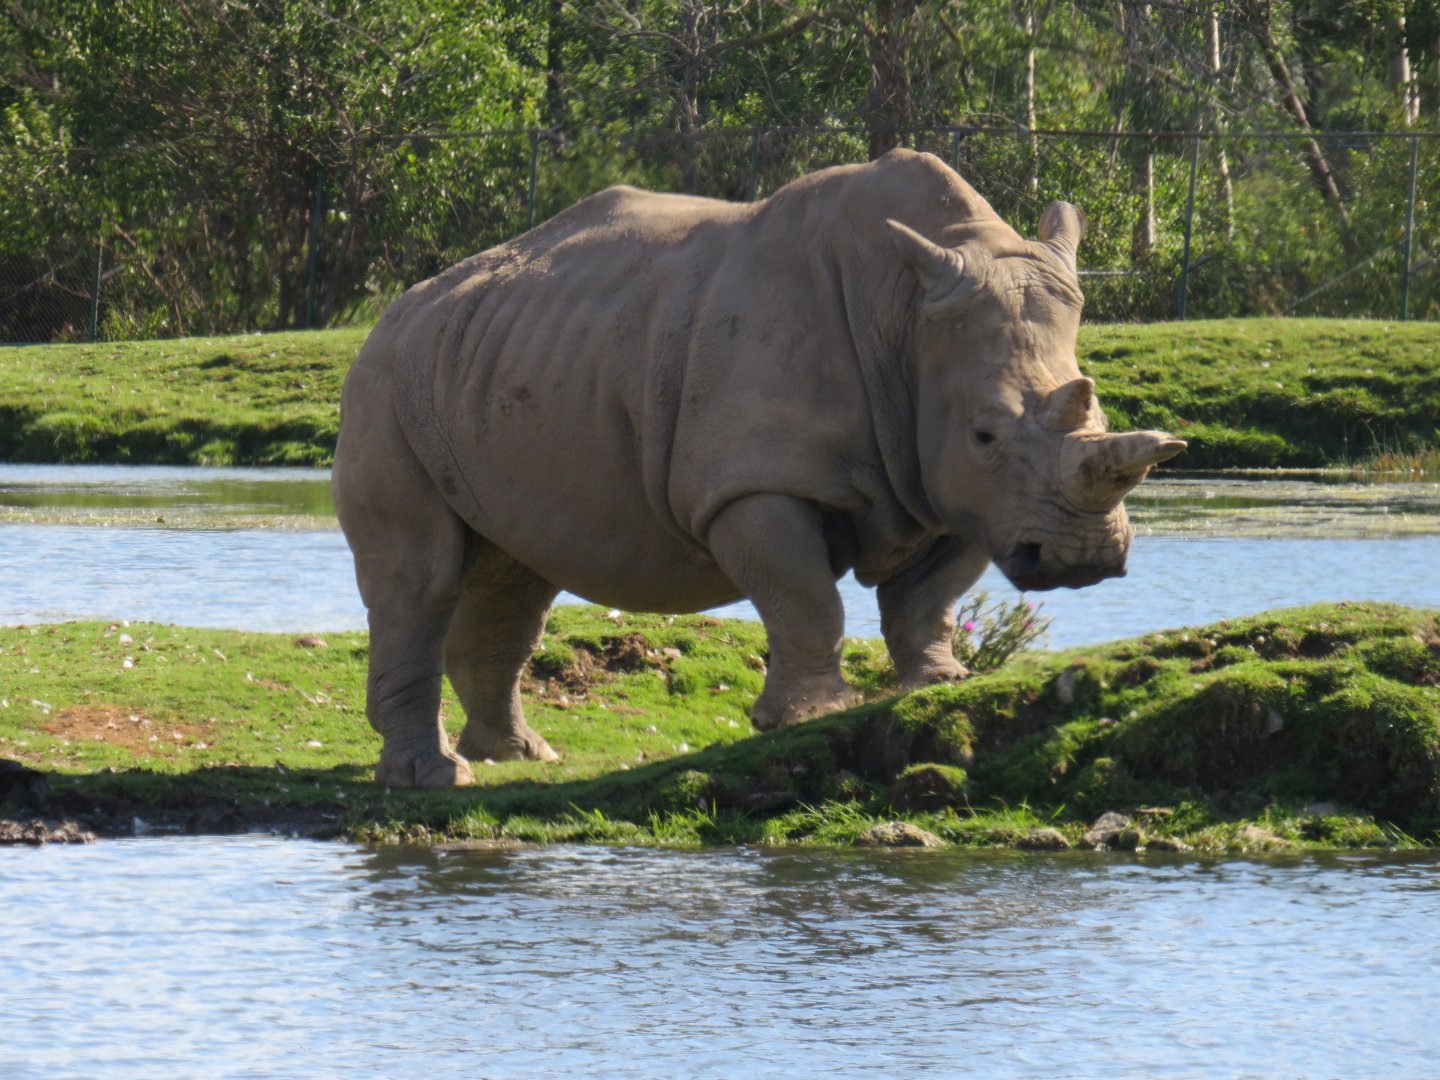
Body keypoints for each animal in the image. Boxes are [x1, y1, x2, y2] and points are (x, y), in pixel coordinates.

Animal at [333, 148, 1184, 787]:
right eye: (984, 434)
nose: (1084, 558)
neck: (905, 319)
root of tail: (397, 309)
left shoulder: (960, 493)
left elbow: (926, 599)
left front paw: (940, 685)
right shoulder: (756, 483)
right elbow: (804, 598)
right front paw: (813, 717)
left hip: (496, 358)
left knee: (516, 579)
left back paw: (520, 757)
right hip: (384, 380)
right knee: (423, 577)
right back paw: (437, 779)